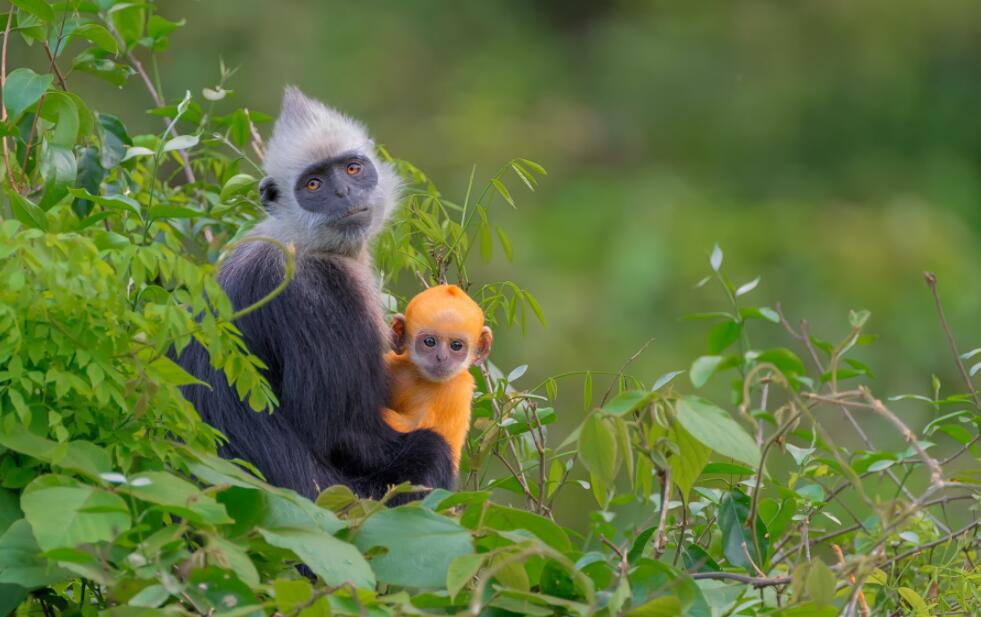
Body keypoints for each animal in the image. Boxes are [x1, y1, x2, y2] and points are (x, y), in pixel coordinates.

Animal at [182, 88, 454, 500]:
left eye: (352, 169)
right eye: (313, 185)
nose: (342, 192)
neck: (300, 241)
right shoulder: (319, 291)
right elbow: (336, 434)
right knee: (430, 452)